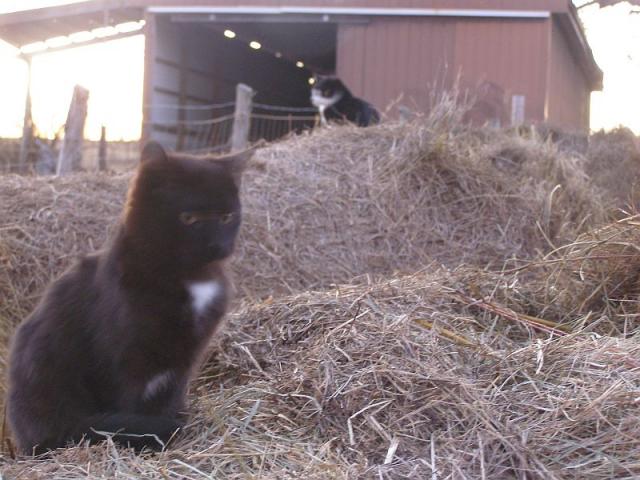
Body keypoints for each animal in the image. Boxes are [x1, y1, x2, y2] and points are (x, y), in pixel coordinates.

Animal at [6, 142, 255, 454]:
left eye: (226, 217)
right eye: (188, 218)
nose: (218, 246)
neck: (190, 277)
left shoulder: (185, 360)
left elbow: (170, 398)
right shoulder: (119, 359)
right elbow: (126, 406)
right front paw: (148, 438)